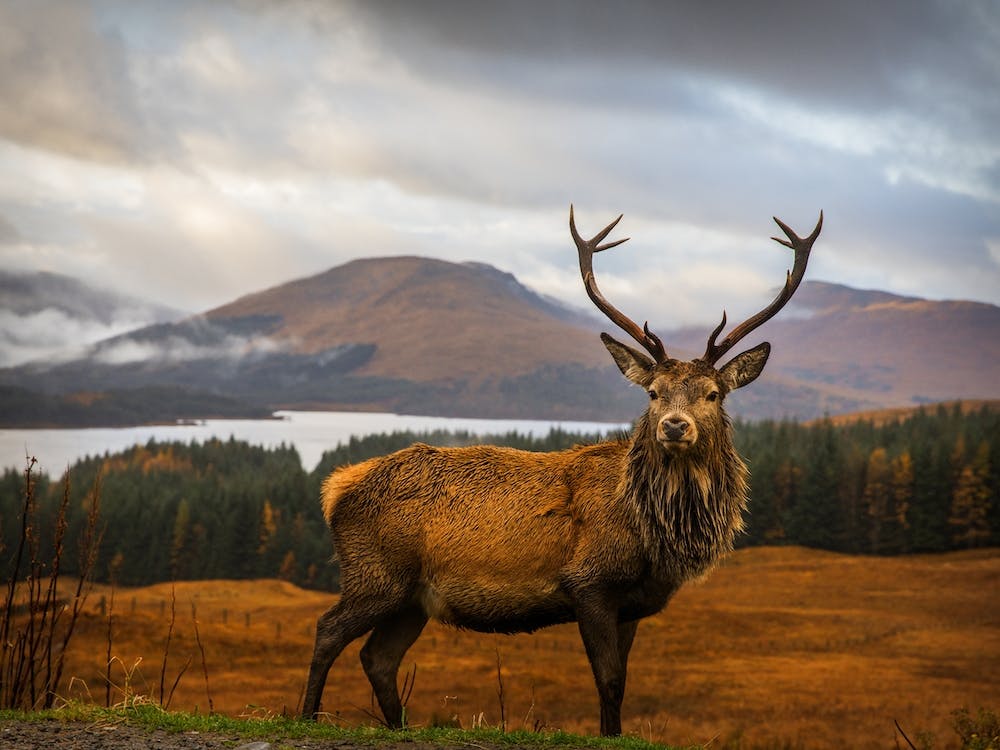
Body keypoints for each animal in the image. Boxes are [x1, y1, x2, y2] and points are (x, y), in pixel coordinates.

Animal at [302, 206, 823, 735]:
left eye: (713, 394)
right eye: (653, 392)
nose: (675, 426)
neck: (654, 536)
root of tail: (335, 487)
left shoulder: (632, 605)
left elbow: (622, 682)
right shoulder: (588, 583)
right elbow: (608, 680)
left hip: (412, 599)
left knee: (378, 658)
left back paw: (398, 726)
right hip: (376, 574)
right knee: (327, 630)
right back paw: (307, 716)